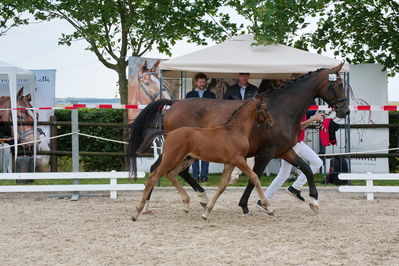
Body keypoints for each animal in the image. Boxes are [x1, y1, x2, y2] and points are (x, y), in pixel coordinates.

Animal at [133, 94, 274, 221]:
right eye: (266, 109)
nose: (271, 123)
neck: (234, 130)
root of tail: (169, 133)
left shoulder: (229, 163)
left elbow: (222, 185)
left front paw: (206, 213)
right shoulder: (238, 160)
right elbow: (254, 177)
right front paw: (268, 207)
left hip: (185, 159)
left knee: (171, 174)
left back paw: (186, 205)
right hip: (171, 158)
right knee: (153, 177)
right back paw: (137, 212)